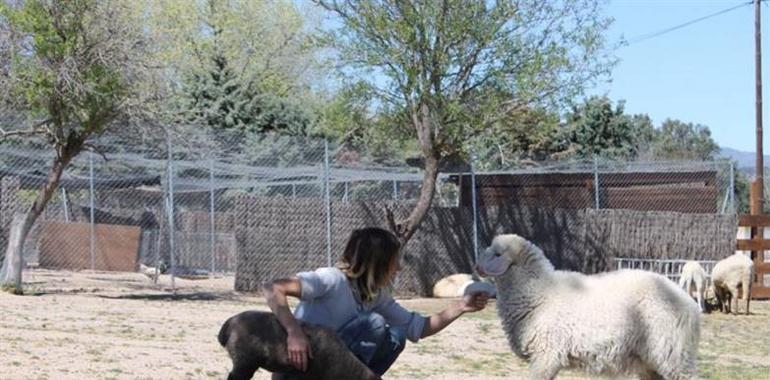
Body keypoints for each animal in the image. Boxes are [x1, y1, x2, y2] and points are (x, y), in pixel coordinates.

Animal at [476, 235, 700, 380]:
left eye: (497, 254)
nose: (477, 267)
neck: (538, 291)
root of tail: (688, 303)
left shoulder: (546, 354)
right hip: (651, 361)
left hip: (673, 353)